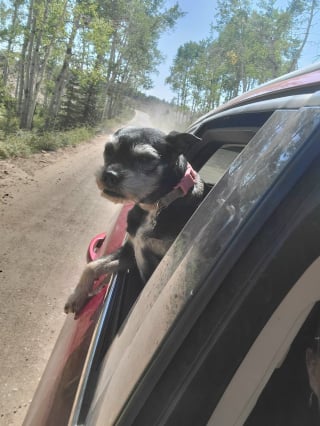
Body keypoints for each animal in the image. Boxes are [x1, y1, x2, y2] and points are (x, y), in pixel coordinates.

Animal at [64, 125, 210, 312]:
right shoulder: (131, 251)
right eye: (108, 150)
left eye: (145, 159)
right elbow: (92, 265)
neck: (154, 208)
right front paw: (76, 296)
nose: (108, 175)